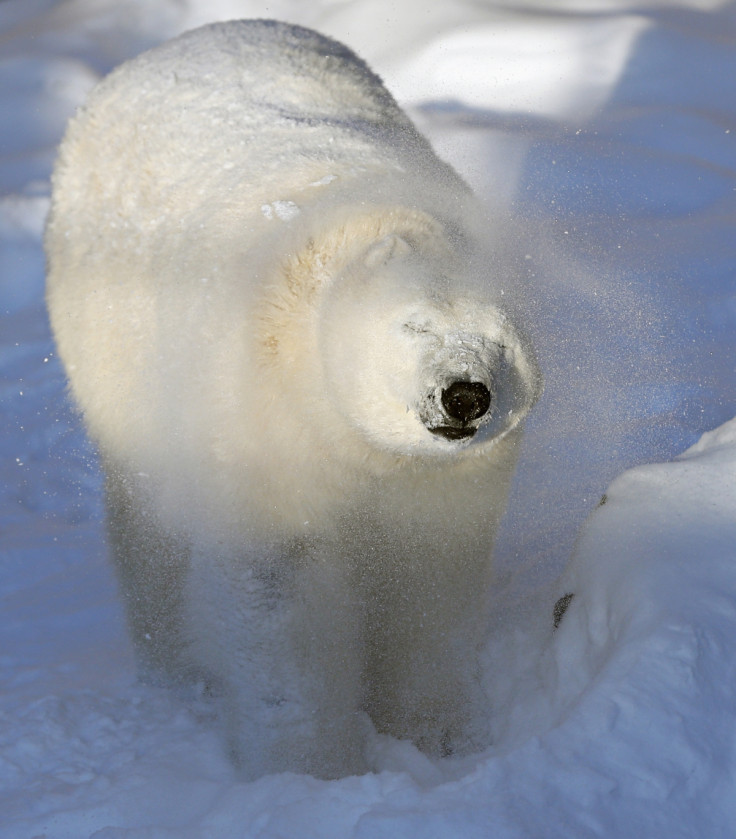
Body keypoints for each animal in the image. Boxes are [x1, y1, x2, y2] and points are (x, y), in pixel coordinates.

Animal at [46, 19, 540, 780]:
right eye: (415, 325)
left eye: (499, 341)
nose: (464, 396)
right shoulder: (261, 421)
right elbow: (282, 591)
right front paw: (310, 768)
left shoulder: (443, 479)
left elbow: (428, 578)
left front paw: (440, 739)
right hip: (114, 362)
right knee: (150, 526)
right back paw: (176, 668)